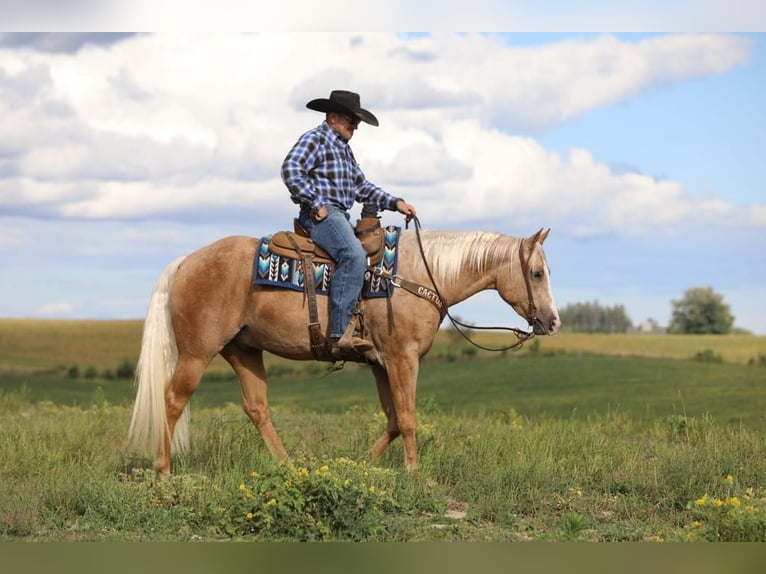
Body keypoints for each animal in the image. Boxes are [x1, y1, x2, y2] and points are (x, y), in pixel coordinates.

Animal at [129, 226, 560, 476]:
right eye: (537, 273)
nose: (553, 321)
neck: (415, 277)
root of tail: (186, 261)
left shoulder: (380, 363)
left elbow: (392, 419)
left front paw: (359, 464)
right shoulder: (402, 359)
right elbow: (408, 418)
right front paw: (413, 474)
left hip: (243, 350)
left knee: (256, 408)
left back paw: (289, 467)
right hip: (198, 352)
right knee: (172, 399)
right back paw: (163, 471)